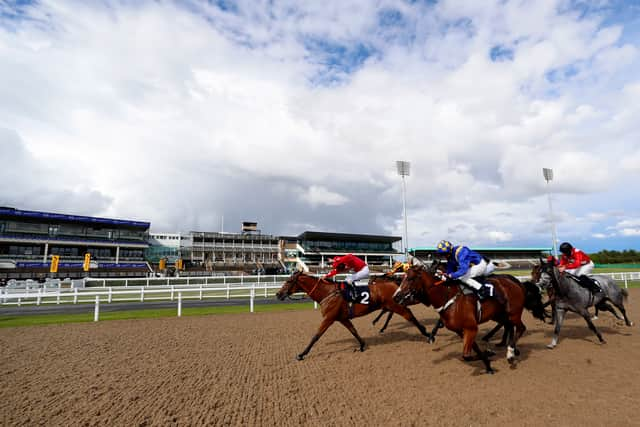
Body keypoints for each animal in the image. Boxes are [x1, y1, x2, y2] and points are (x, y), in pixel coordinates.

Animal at [276, 272, 432, 360]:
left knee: (409, 316)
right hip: (393, 305)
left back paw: (426, 333)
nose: (278, 294)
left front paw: (302, 354)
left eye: (288, 281)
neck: (328, 293)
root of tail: (395, 284)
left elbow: (316, 336)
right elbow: (353, 331)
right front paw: (362, 345)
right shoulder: (342, 318)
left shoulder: (329, 318)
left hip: (396, 306)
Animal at [392, 264, 528, 374]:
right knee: (509, 325)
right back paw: (511, 349)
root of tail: (516, 282)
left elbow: (466, 356)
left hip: (513, 313)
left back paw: (510, 354)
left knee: (521, 328)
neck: (448, 298)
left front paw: (490, 353)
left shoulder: (471, 328)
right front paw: (488, 365)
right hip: (499, 315)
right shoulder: (461, 330)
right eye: (402, 278)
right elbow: (474, 350)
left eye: (410, 278)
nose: (395, 297)